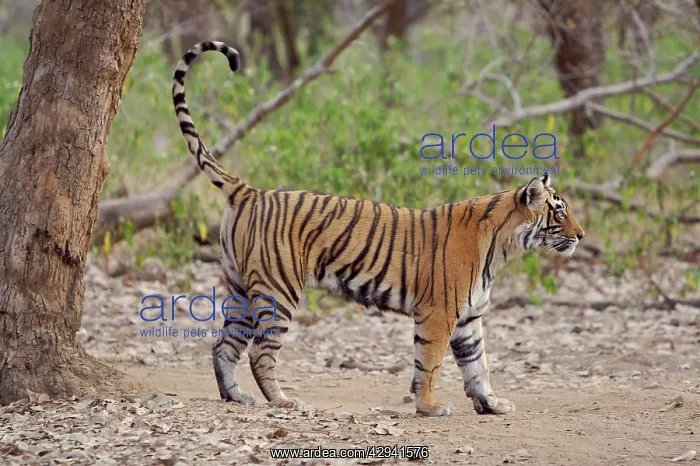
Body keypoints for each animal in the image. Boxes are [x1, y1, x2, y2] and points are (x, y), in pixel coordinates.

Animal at [172, 41, 585, 417]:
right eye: (560, 211)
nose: (582, 236)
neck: (503, 249)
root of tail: (249, 191)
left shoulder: (468, 319)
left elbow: (477, 364)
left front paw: (491, 404)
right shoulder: (439, 313)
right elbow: (431, 363)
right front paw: (431, 407)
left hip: (241, 288)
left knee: (224, 345)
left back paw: (235, 396)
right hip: (278, 290)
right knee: (260, 351)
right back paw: (284, 402)